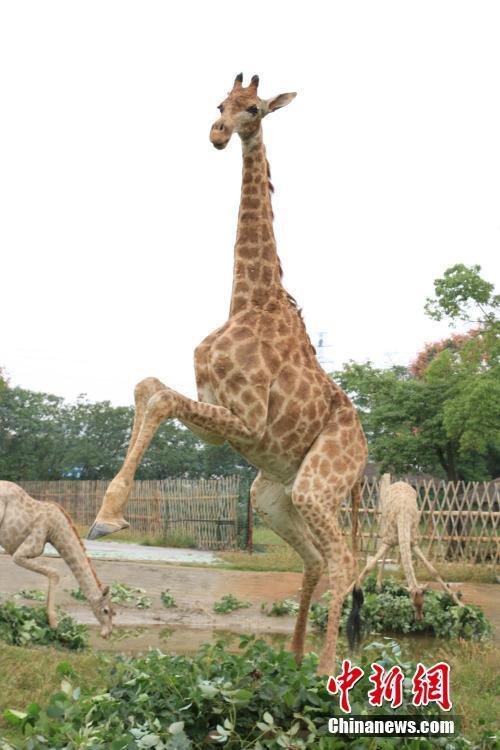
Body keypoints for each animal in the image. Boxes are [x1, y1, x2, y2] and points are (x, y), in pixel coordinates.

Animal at [0, 481, 114, 637]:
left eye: (114, 613)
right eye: (105, 610)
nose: (106, 634)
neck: (54, 532)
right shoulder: (20, 554)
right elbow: (55, 573)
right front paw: (54, 622)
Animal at [88, 73, 368, 674]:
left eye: (254, 109)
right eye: (220, 102)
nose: (217, 133)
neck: (248, 299)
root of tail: (365, 458)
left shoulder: (249, 419)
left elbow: (161, 397)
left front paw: (108, 518)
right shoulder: (219, 420)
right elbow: (149, 387)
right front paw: (107, 513)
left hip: (319, 486)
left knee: (344, 559)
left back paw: (329, 672)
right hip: (275, 495)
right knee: (315, 558)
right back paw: (293, 659)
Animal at [349, 475, 462, 619]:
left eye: (423, 601)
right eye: (412, 602)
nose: (419, 619)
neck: (403, 518)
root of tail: (400, 482)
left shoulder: (413, 542)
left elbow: (433, 571)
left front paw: (460, 604)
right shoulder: (389, 540)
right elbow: (368, 567)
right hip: (385, 523)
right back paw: (378, 586)